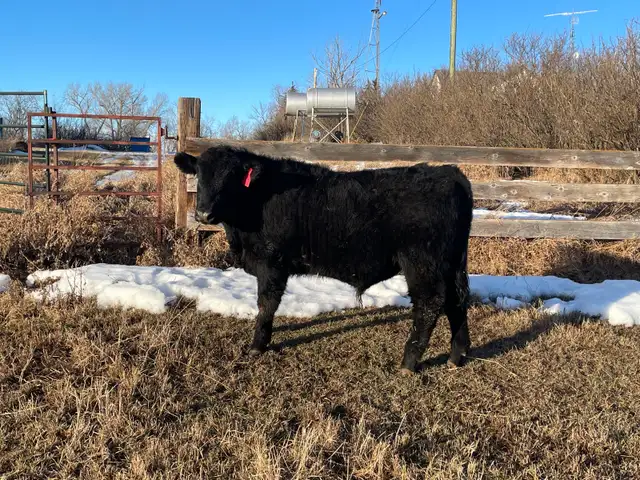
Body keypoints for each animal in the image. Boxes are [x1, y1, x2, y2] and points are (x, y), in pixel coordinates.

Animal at [174, 145, 473, 374]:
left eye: (231, 178)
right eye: (199, 176)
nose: (204, 214)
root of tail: (450, 172)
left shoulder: (271, 264)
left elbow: (266, 304)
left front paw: (258, 345)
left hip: (422, 263)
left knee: (430, 304)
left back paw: (408, 362)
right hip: (451, 263)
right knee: (456, 301)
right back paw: (456, 356)